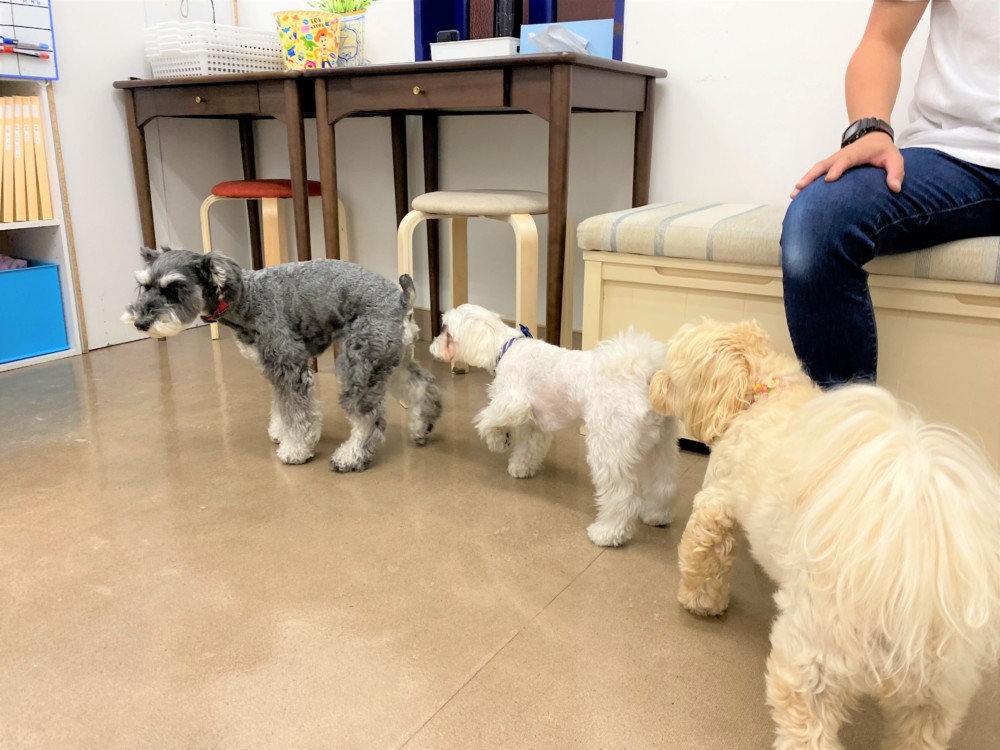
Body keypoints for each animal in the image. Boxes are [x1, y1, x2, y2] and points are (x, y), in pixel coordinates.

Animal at [122, 247, 442, 472]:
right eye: (145, 286)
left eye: (175, 288)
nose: (140, 322)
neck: (246, 299)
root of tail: (401, 301)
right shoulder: (275, 370)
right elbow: (283, 406)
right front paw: (281, 432)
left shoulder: (288, 365)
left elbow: (297, 413)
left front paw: (296, 449)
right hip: (387, 360)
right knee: (422, 386)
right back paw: (421, 426)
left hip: (357, 366)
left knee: (369, 419)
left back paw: (351, 457)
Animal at [430, 304, 678, 547]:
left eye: (446, 331)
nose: (432, 346)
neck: (505, 348)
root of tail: (645, 376)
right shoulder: (535, 423)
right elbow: (528, 448)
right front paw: (521, 468)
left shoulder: (514, 402)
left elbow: (488, 418)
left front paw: (498, 439)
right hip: (661, 444)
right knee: (664, 482)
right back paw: (657, 515)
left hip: (609, 445)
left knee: (622, 496)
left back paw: (607, 533)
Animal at [648, 319, 1000, 750]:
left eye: (671, 370)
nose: (653, 384)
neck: (760, 390)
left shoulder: (716, 504)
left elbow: (702, 558)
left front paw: (700, 602)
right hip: (934, 695)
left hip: (813, 661)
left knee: (808, 727)